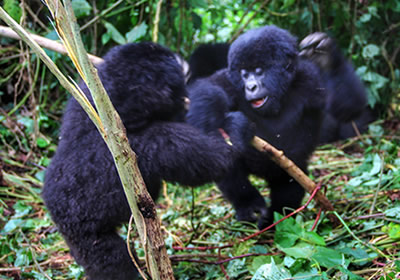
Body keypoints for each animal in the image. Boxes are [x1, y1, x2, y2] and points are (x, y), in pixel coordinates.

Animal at [41, 41, 253, 280]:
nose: (184, 95)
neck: (115, 107)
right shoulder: (157, 141)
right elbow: (220, 158)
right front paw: (234, 124)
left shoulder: (85, 95)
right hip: (82, 231)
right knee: (110, 258)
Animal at [186, 25, 368, 229]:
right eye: (244, 74)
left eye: (259, 71)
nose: (250, 87)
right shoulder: (230, 82)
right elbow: (208, 87)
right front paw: (206, 118)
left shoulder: (311, 80)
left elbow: (347, 108)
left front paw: (328, 59)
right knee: (224, 158)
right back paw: (248, 205)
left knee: (290, 185)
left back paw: (276, 219)